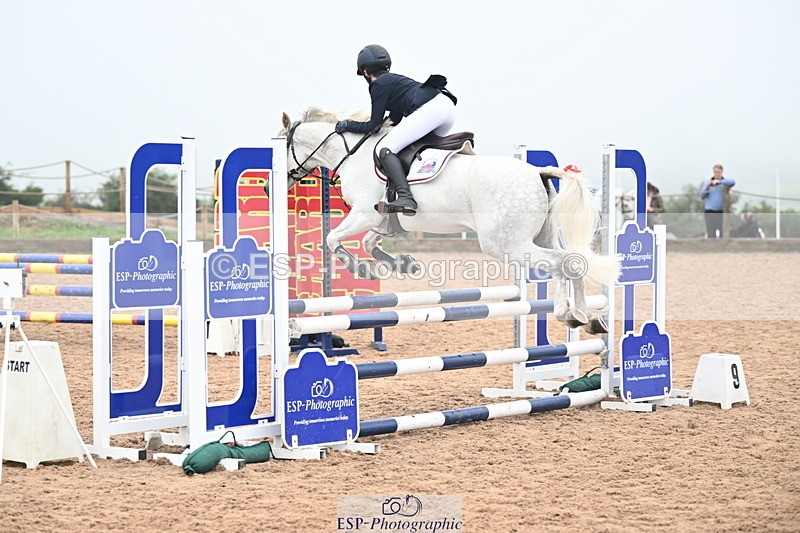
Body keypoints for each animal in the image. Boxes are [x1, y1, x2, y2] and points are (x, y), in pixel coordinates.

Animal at [277, 107, 619, 333]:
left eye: (282, 147)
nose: (270, 187)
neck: (353, 155)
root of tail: (538, 172)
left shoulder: (364, 213)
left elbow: (332, 239)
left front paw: (362, 268)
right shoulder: (384, 219)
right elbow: (368, 241)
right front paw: (403, 264)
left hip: (507, 244)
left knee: (563, 262)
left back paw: (569, 314)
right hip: (538, 237)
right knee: (574, 261)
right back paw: (589, 318)